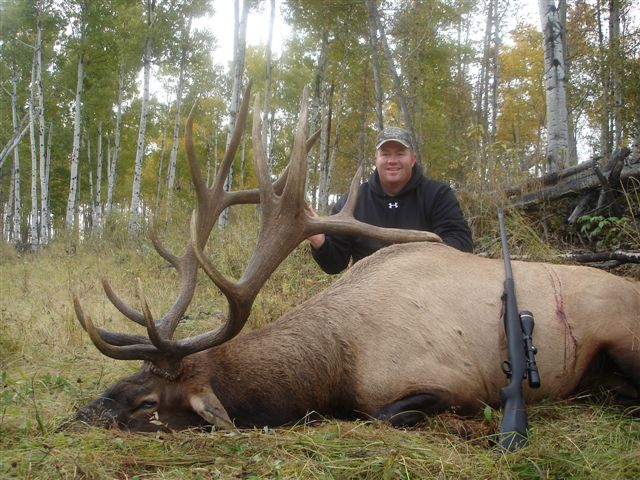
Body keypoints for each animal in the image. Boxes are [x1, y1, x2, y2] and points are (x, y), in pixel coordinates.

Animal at [74, 85, 640, 433]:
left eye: (149, 402)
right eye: (125, 379)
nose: (78, 416)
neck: (336, 366)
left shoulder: (446, 381)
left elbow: (379, 415)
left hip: (622, 337)